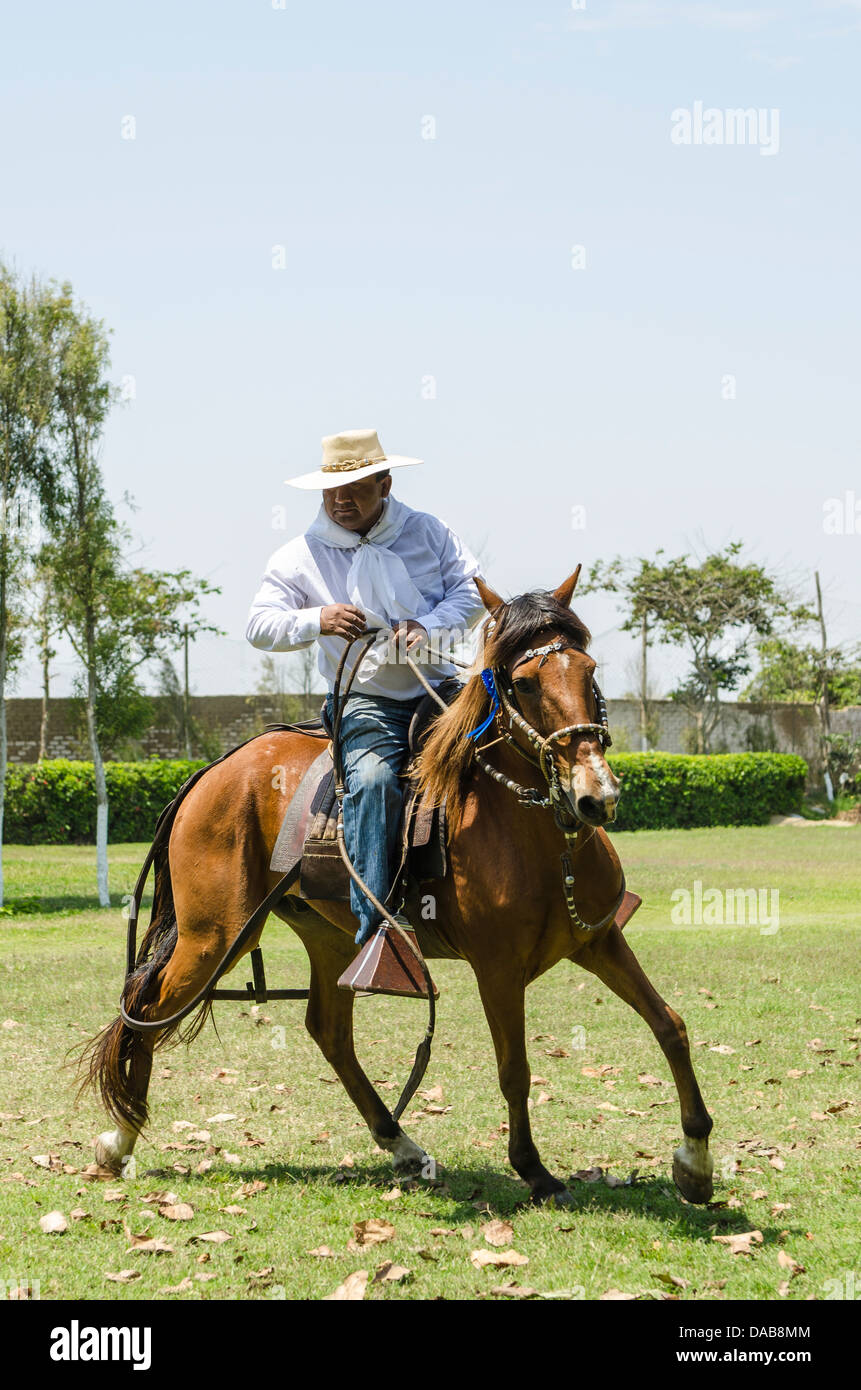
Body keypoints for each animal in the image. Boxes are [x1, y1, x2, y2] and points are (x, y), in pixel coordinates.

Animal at [82, 569, 712, 1212]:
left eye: (588, 669)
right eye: (523, 683)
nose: (595, 796)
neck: (532, 832)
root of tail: (210, 773)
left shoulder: (598, 941)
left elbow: (670, 1025)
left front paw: (695, 1160)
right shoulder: (497, 967)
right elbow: (515, 1067)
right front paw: (534, 1170)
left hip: (325, 936)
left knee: (328, 1031)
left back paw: (401, 1144)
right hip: (214, 936)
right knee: (148, 1008)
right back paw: (120, 1140)